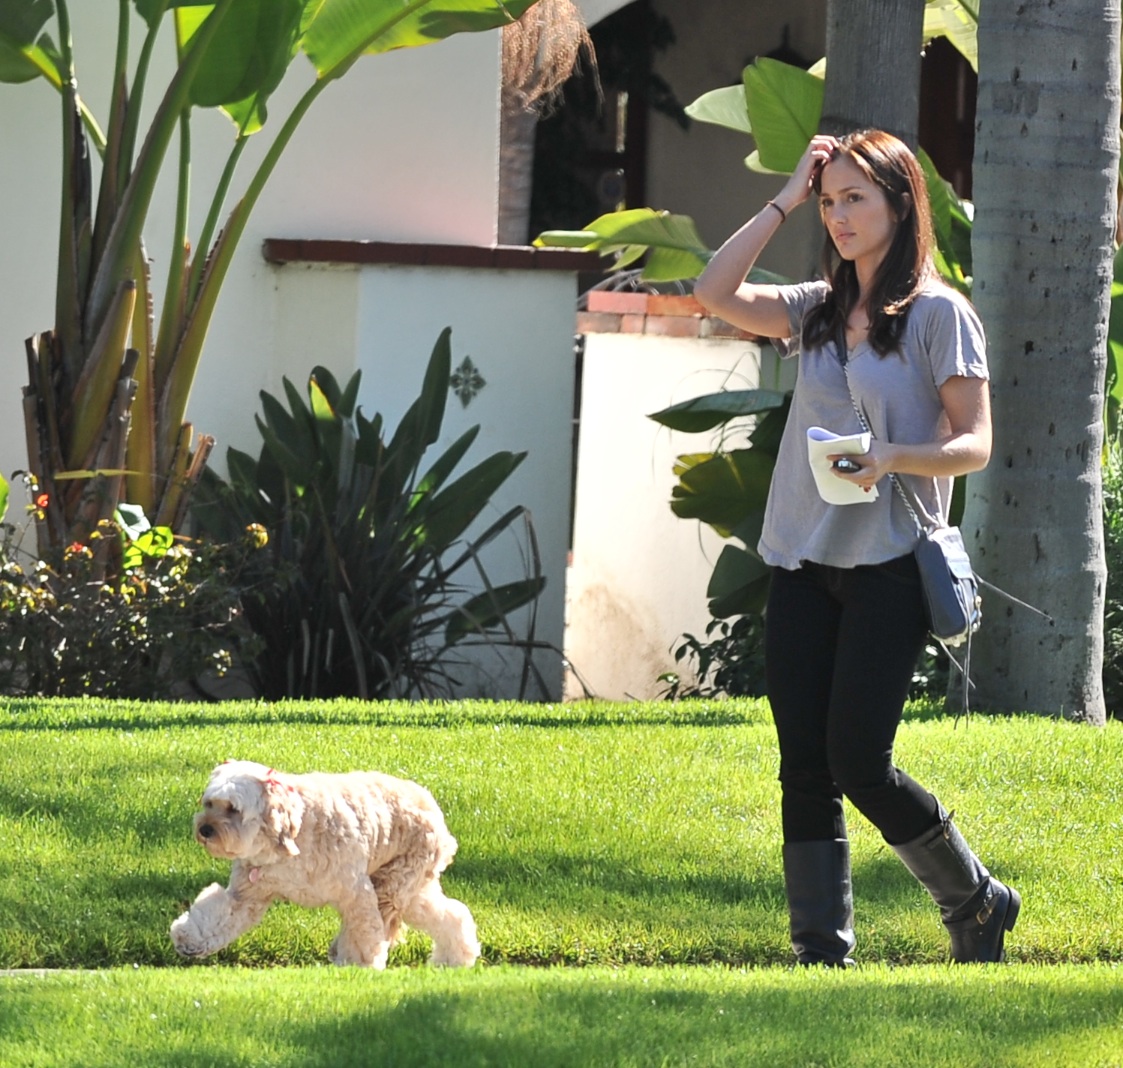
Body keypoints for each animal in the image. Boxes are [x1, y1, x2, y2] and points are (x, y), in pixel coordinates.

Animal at [170, 760, 480, 968]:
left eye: (232, 809)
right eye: (209, 803)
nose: (204, 829)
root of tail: (430, 803)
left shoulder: (356, 893)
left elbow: (363, 930)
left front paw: (358, 963)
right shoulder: (245, 896)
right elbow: (215, 915)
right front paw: (189, 938)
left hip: (390, 888)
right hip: (411, 891)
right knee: (452, 915)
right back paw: (455, 958)